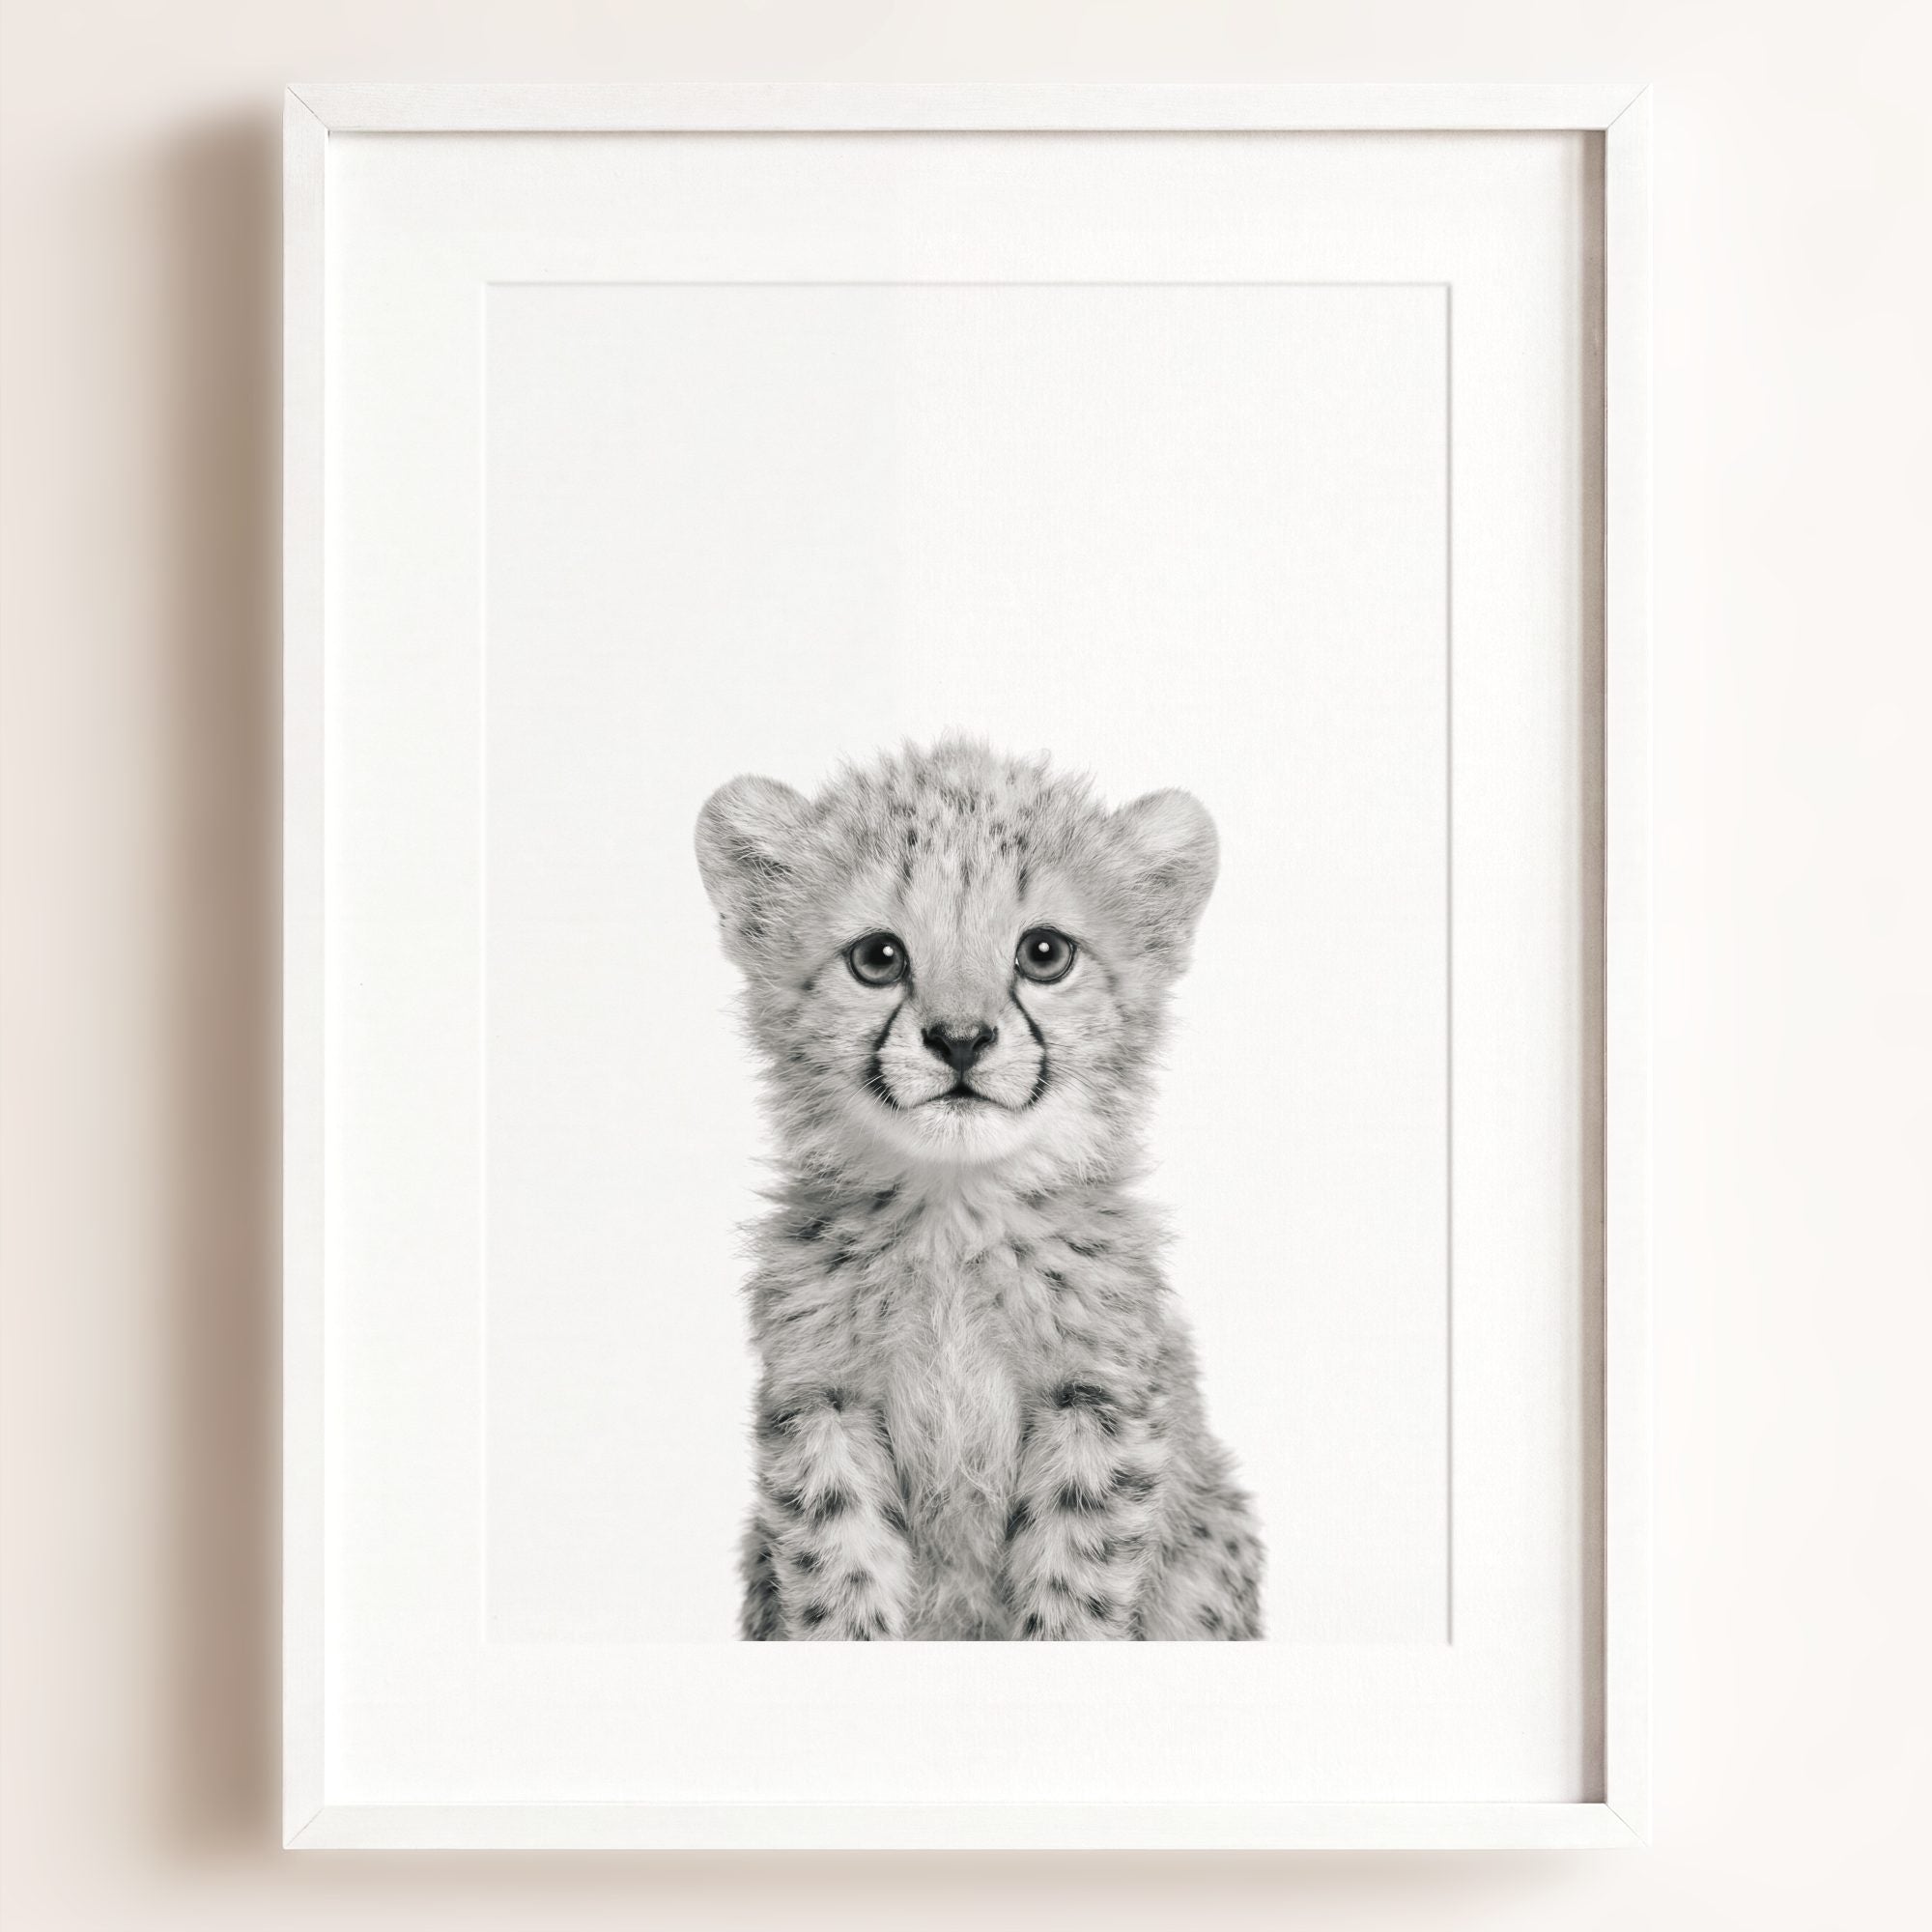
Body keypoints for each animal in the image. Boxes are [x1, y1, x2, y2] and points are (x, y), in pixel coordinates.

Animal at [695, 737, 1264, 1639]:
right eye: (878, 958)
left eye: (1045, 954)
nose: (960, 1039)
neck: (953, 1217)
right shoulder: (822, 1404)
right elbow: (839, 1576)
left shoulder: (1097, 1404)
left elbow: (1075, 1588)